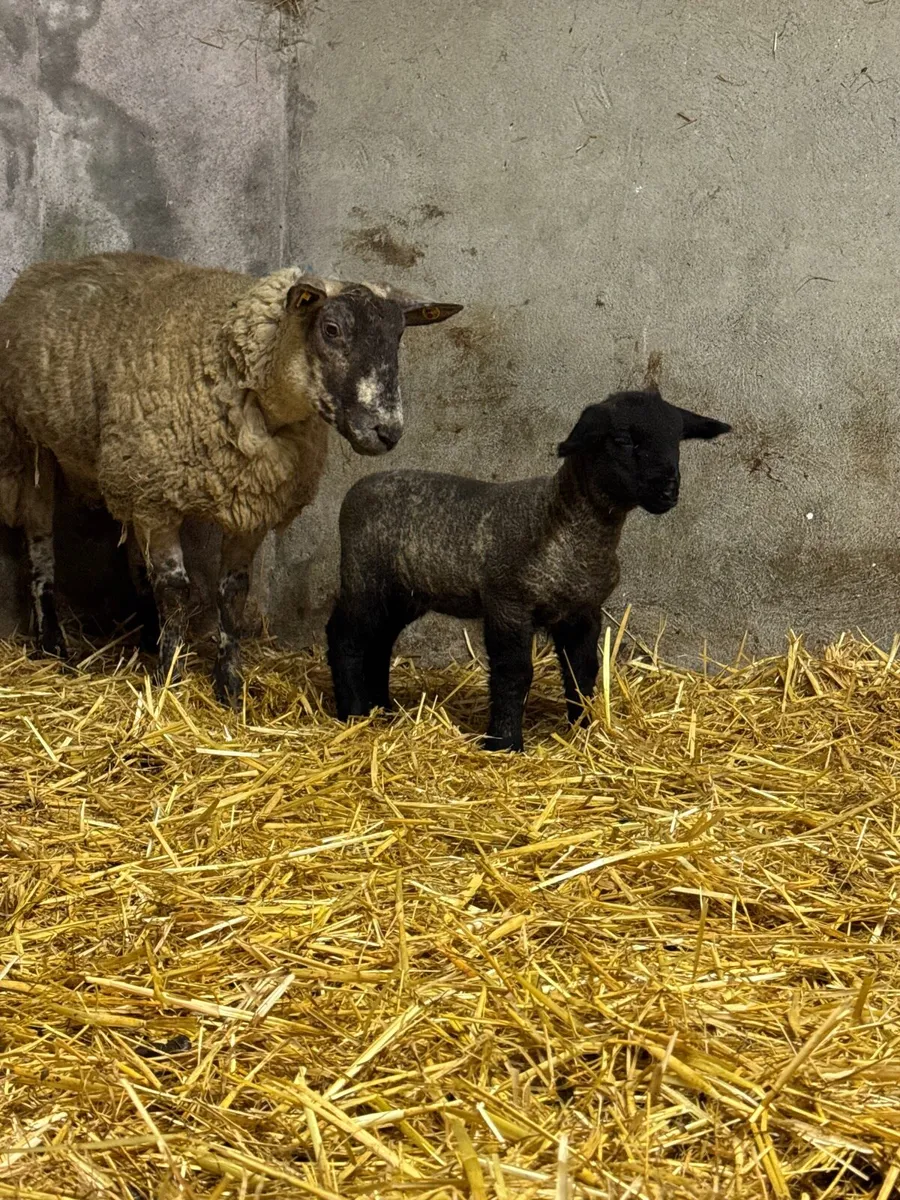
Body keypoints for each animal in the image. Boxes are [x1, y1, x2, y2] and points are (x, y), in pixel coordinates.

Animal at [0, 251, 462, 705]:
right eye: (331, 329)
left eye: (398, 336)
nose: (387, 430)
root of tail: (53, 266)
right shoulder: (157, 499)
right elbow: (175, 588)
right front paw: (171, 677)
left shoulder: (250, 503)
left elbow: (233, 593)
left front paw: (228, 684)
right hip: (32, 445)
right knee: (40, 546)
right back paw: (53, 644)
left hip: (127, 472)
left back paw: (148, 636)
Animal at [326, 388, 731, 751]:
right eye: (622, 439)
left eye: (677, 439)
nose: (669, 490)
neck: (561, 520)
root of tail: (357, 489)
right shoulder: (508, 605)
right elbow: (514, 674)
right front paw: (504, 742)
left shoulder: (582, 612)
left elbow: (582, 672)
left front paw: (585, 730)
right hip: (364, 578)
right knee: (346, 638)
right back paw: (354, 713)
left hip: (403, 594)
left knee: (378, 643)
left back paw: (383, 709)